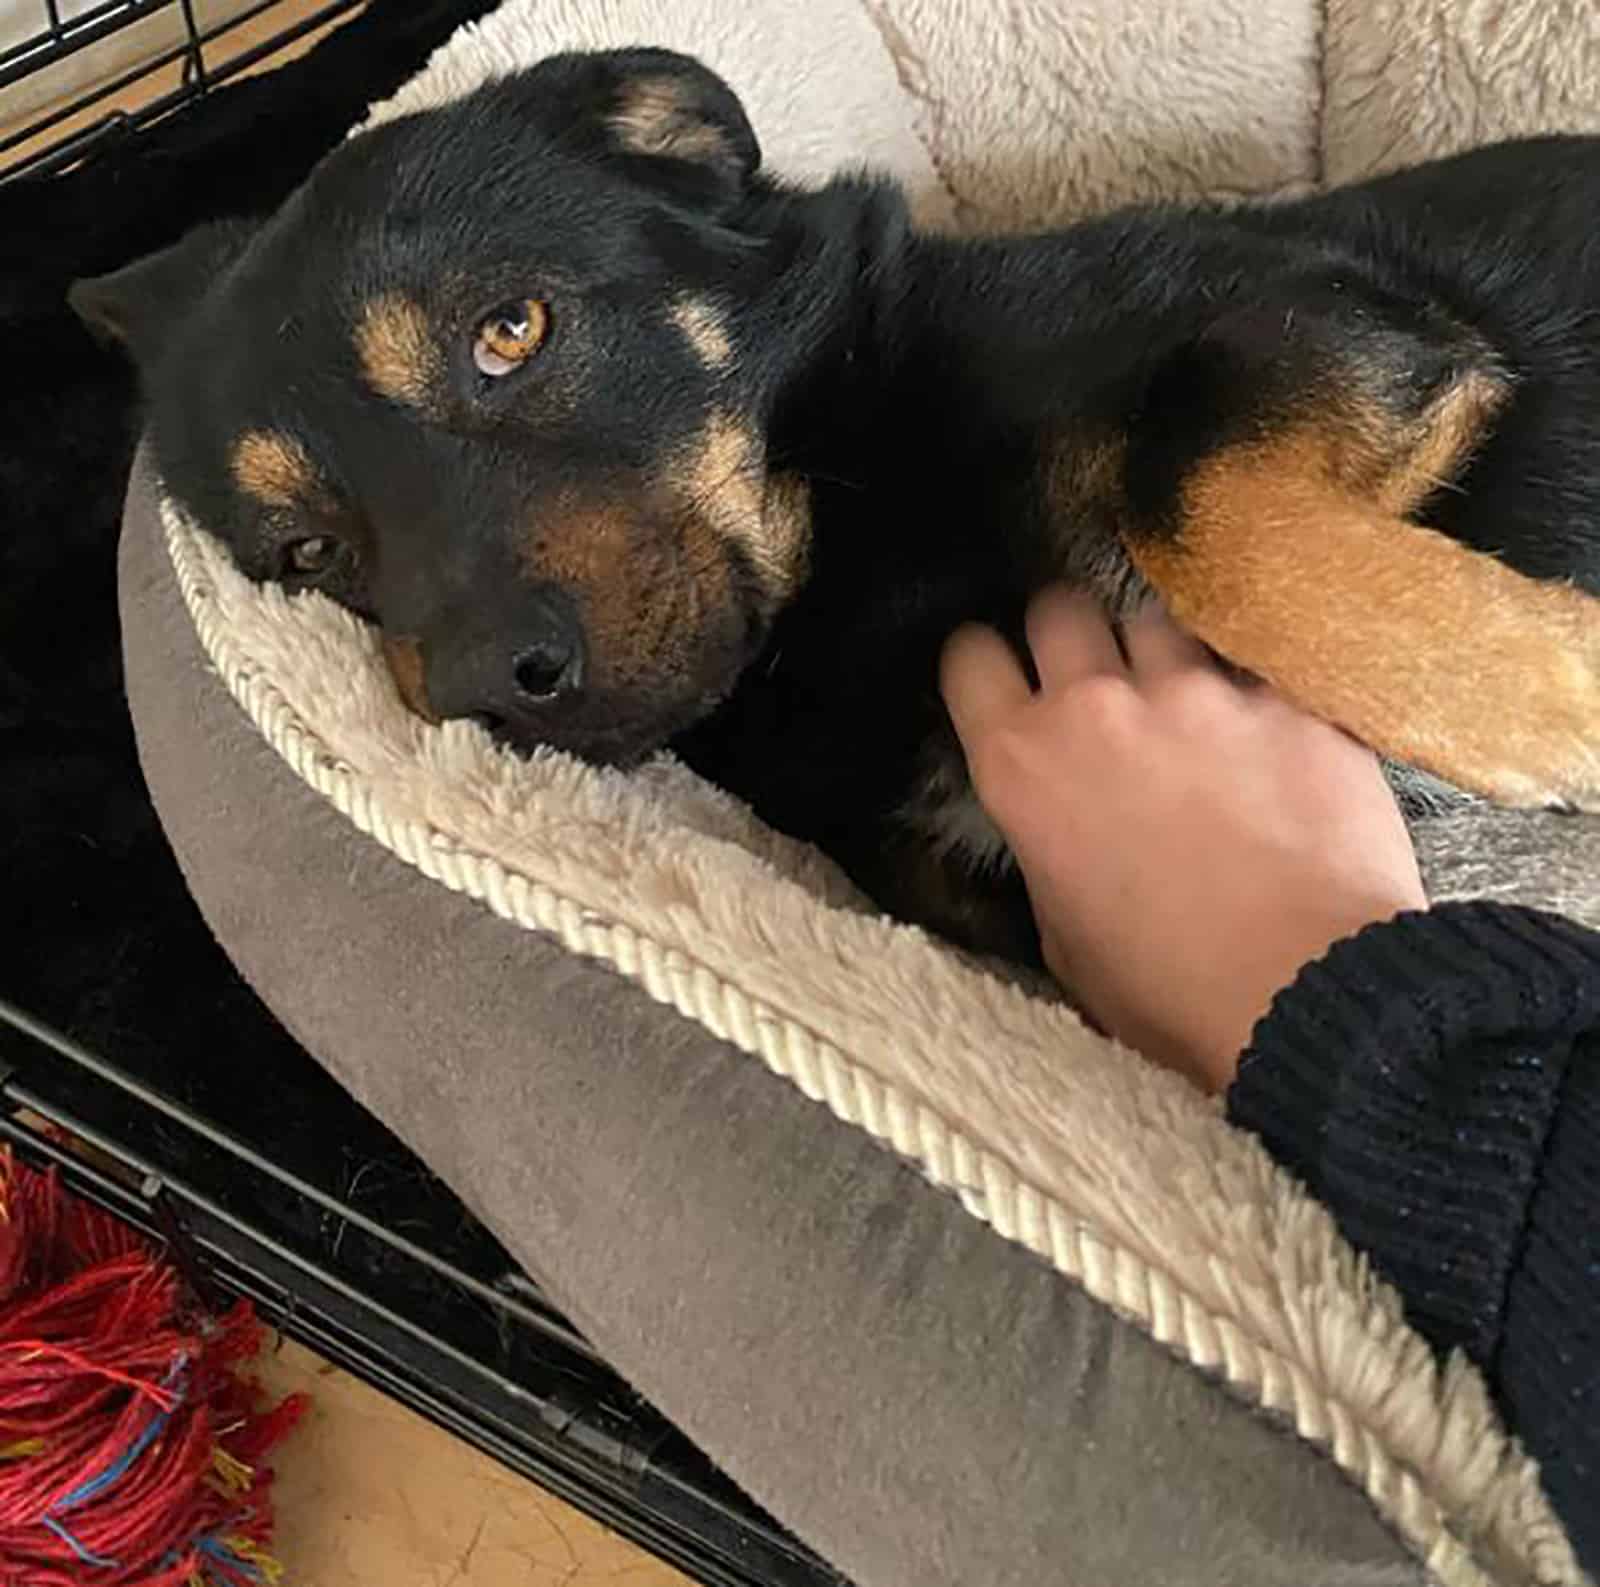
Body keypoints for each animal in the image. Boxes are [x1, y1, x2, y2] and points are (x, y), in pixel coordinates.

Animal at [72, 49, 1600, 959]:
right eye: (306, 550)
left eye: (509, 330)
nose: (481, 691)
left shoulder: (1338, 320)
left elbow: (1187, 497)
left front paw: (1542, 697)